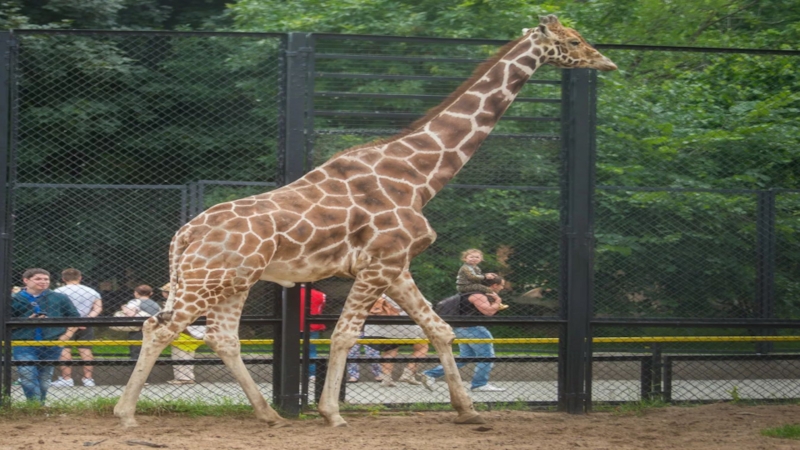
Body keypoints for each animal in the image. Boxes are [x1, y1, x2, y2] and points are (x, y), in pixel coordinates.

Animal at [111, 14, 612, 428]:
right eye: (573, 40)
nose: (605, 61)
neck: (420, 176)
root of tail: (183, 234)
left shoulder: (397, 267)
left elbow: (439, 328)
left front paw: (467, 410)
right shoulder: (377, 264)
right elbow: (344, 335)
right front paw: (332, 413)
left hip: (234, 281)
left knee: (222, 337)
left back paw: (269, 415)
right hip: (208, 280)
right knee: (160, 327)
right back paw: (127, 414)